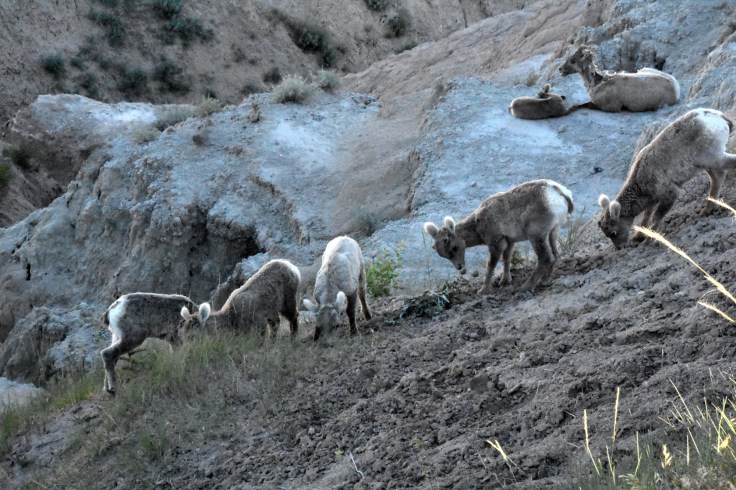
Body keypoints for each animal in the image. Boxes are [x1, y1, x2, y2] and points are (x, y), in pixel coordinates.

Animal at [423, 179, 574, 295]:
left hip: (536, 236)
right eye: (444, 255)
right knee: (555, 254)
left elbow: (490, 266)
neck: (477, 224)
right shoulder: (509, 241)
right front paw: (504, 281)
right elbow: (506, 259)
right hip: (553, 232)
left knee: (546, 258)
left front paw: (483, 291)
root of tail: (559, 193)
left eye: (454, 247)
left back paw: (525, 287)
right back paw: (544, 281)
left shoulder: (495, 243)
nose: (460, 267)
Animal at [598, 108, 736, 249]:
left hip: (713, 159)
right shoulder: (653, 199)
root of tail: (718, 117)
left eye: (613, 233)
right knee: (718, 177)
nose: (619, 247)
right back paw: (707, 210)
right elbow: (646, 216)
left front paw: (647, 241)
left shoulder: (670, 194)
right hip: (706, 163)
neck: (640, 184)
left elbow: (656, 217)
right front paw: (637, 237)